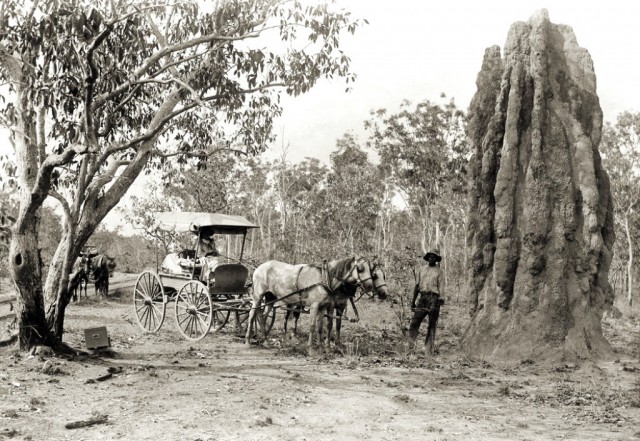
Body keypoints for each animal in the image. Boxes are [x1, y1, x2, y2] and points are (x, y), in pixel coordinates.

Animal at [248, 254, 380, 350]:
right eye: (360, 269)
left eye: (371, 270)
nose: (370, 286)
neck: (325, 279)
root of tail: (258, 268)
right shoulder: (314, 306)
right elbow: (312, 325)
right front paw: (311, 347)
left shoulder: (326, 306)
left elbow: (324, 326)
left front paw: (324, 347)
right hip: (258, 296)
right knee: (252, 314)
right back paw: (248, 341)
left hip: (270, 298)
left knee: (262, 317)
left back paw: (265, 341)